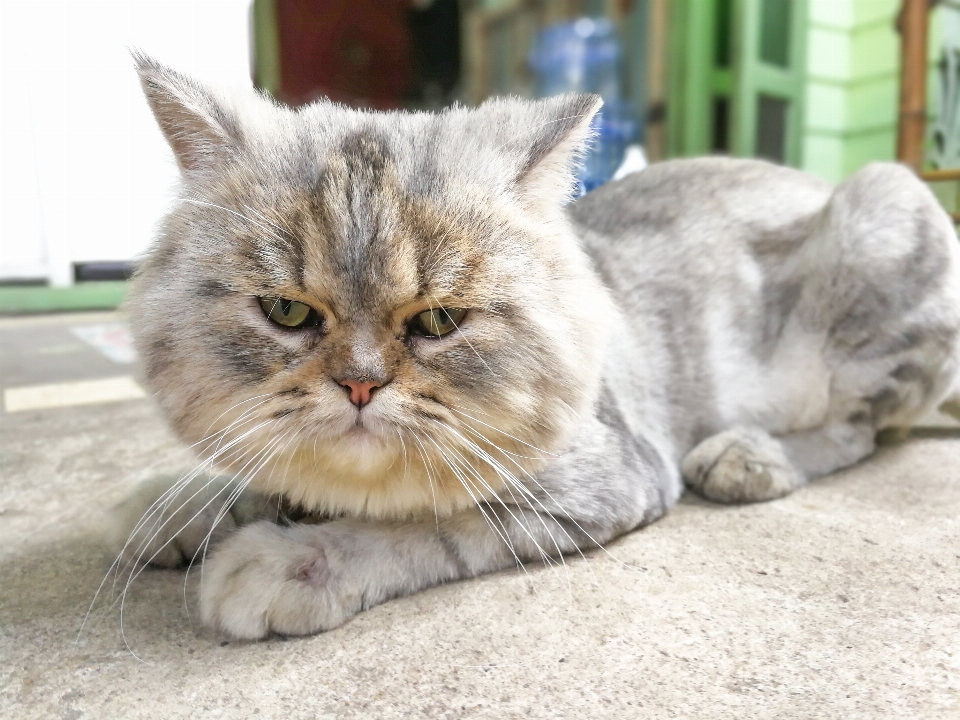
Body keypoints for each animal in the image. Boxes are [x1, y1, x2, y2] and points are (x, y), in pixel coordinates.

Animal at [116, 54, 960, 640]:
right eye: (287, 311)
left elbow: (418, 524)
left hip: (883, 211)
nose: (359, 386)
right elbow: (252, 467)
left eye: (438, 322)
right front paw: (183, 503)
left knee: (855, 433)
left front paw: (290, 559)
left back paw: (746, 455)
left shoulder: (599, 483)